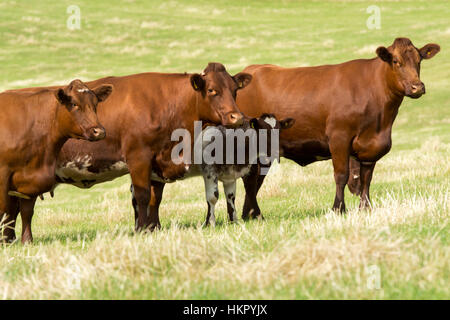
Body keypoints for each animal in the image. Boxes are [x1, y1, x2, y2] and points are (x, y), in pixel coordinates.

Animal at [0, 79, 112, 242]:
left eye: (95, 103)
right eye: (74, 104)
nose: (99, 131)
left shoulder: (32, 178)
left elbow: (27, 212)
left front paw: (27, 241)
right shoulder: (3, 175)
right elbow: (5, 211)